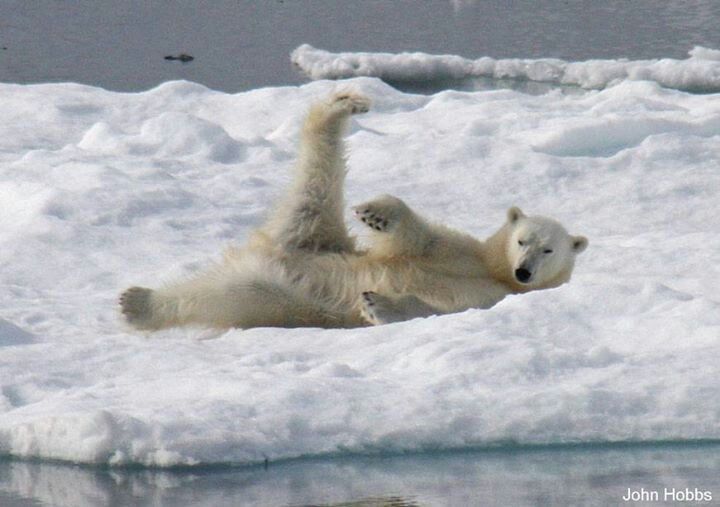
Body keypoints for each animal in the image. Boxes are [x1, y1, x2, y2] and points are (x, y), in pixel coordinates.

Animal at [119, 91, 588, 330]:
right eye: (523, 239)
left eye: (548, 250)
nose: (524, 271)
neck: (494, 271)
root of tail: (271, 251)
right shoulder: (465, 251)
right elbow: (420, 238)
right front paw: (377, 214)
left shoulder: (493, 298)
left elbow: (437, 306)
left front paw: (377, 302)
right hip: (313, 234)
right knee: (318, 180)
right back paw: (343, 104)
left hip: (282, 291)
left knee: (225, 294)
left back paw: (138, 303)